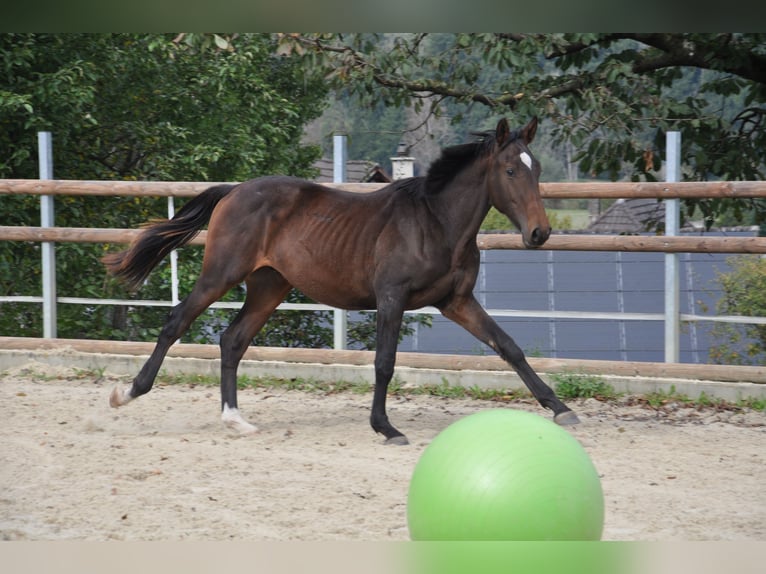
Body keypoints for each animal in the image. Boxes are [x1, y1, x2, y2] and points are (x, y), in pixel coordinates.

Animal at [105, 117, 580, 446]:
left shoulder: (457, 302)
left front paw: (561, 409)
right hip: (221, 274)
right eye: (510, 171)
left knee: (232, 340)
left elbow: (509, 347)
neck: (437, 223)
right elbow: (384, 362)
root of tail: (234, 190)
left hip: (269, 286)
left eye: (537, 168)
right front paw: (386, 428)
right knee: (176, 322)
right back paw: (126, 394)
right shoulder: (392, 298)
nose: (539, 233)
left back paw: (235, 419)